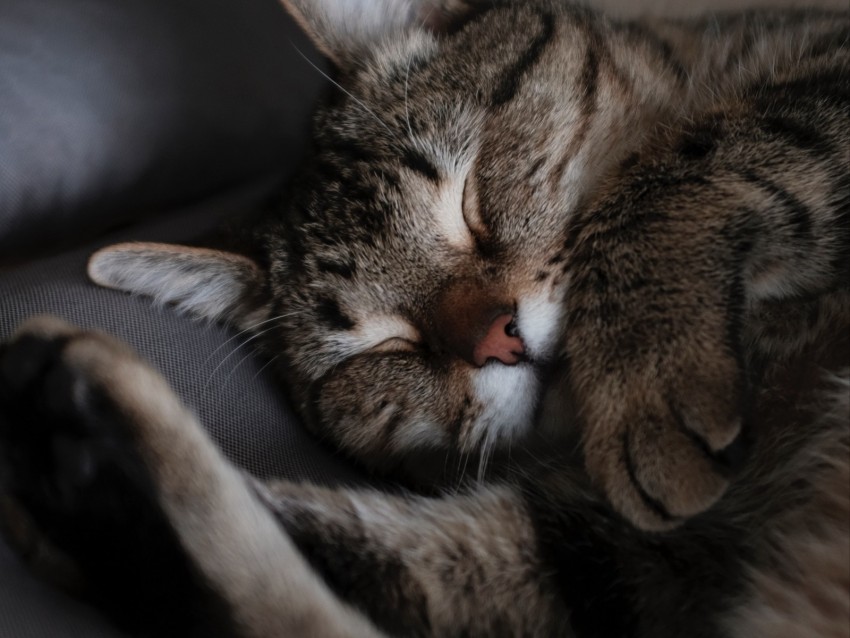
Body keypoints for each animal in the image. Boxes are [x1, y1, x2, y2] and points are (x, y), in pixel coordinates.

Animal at [0, 0, 844, 636]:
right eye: (379, 349)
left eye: (469, 198)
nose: (499, 339)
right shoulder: (629, 555)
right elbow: (389, 557)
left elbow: (691, 162)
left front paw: (650, 374)